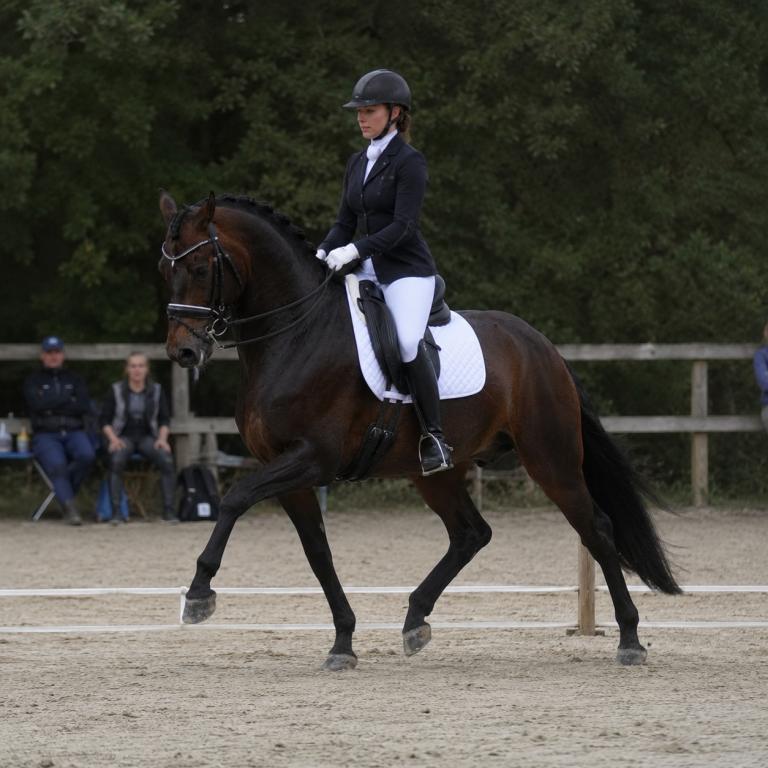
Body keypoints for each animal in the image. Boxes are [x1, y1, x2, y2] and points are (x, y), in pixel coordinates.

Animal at [158, 190, 680, 670]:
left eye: (201, 268)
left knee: (597, 528)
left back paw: (630, 639)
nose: (183, 352)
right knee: (472, 534)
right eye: (166, 268)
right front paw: (343, 641)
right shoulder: (287, 470)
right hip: (437, 473)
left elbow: (233, 499)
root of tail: (544, 348)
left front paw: (199, 593)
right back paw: (415, 620)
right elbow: (317, 552)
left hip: (551, 460)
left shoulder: (311, 458)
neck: (296, 334)